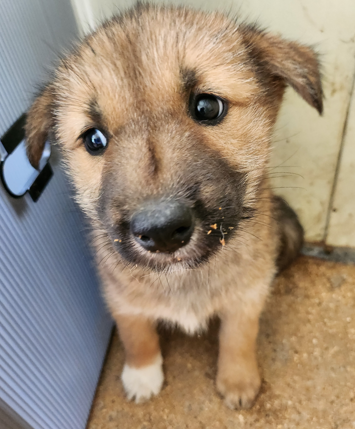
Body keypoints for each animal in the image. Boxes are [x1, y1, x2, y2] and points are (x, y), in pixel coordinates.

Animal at [25, 5, 322, 410]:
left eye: (208, 107)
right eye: (94, 139)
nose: (162, 232)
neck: (185, 277)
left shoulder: (248, 294)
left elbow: (239, 337)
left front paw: (238, 379)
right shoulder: (122, 299)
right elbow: (137, 336)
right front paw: (142, 374)